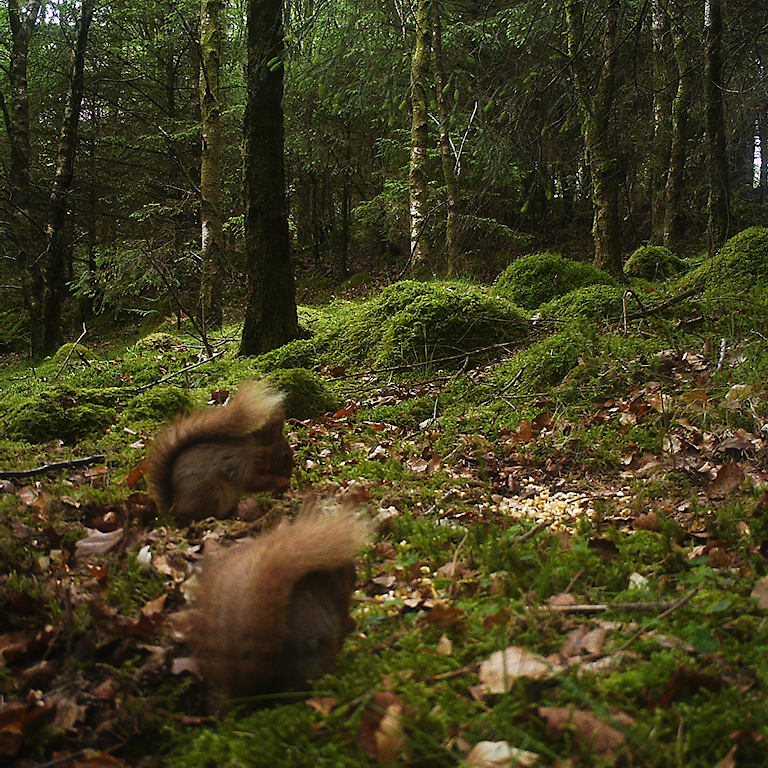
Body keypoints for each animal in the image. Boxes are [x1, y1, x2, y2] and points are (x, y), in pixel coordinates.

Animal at [148, 381, 293, 525]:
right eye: (285, 456)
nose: (289, 475)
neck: (258, 449)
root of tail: (173, 512)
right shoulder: (244, 463)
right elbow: (253, 481)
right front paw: (282, 482)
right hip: (209, 494)